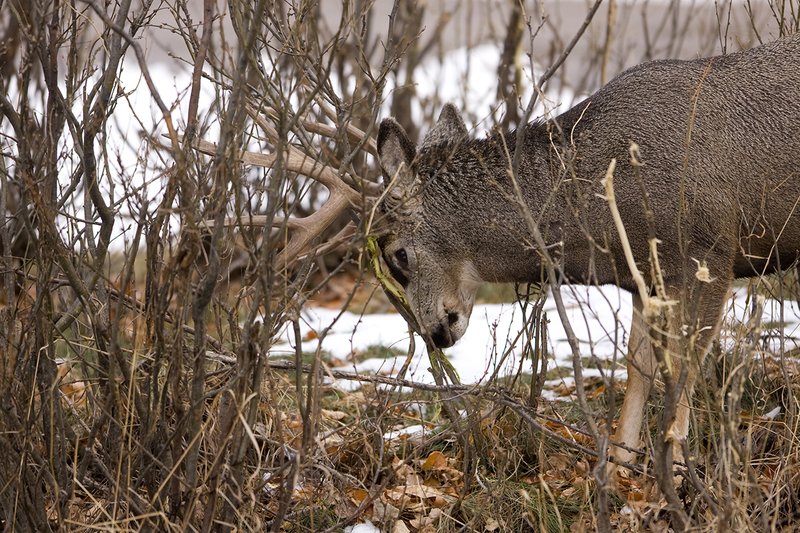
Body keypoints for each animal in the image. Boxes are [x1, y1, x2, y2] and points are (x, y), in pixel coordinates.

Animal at [374, 33, 800, 484]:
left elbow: (681, 366)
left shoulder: (708, 255)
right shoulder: (645, 278)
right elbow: (638, 366)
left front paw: (675, 471)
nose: (434, 332)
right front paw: (618, 467)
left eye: (398, 255)